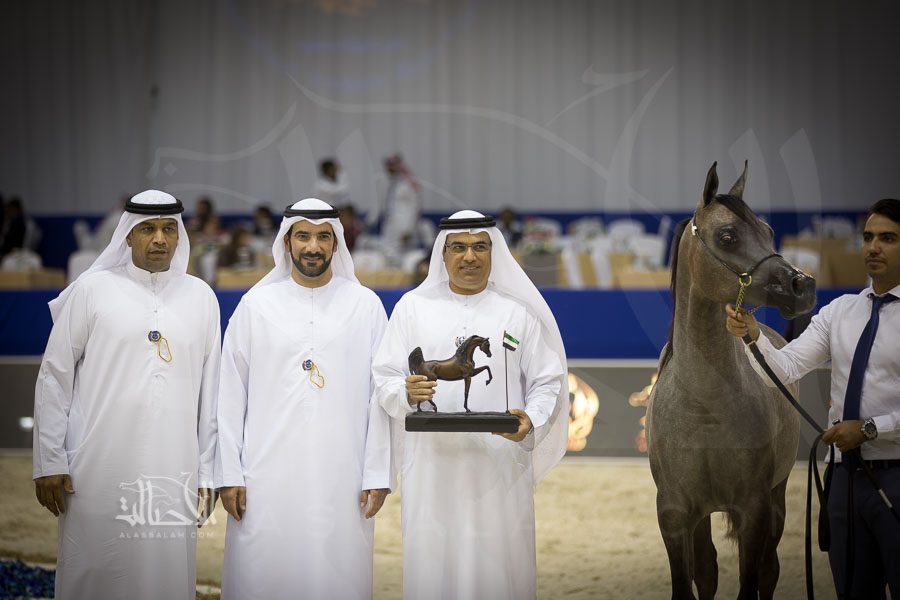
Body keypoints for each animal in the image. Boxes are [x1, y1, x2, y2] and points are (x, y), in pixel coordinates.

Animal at [647, 161, 816, 599]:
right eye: (727, 235)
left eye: (769, 231)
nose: (803, 285)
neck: (705, 407)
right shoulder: (674, 515)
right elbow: (690, 582)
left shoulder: (754, 511)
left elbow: (750, 581)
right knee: (707, 570)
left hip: (776, 498)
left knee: (769, 571)